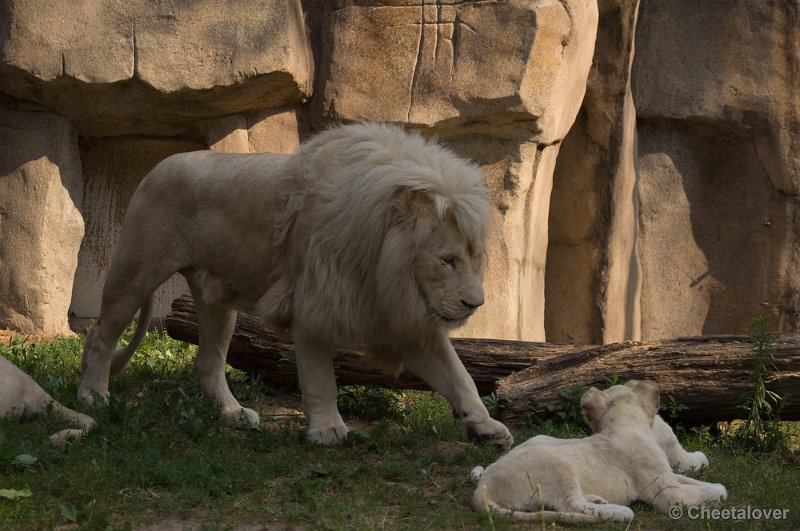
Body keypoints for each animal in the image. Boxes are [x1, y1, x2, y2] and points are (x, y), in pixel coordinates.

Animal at [79, 121, 512, 448]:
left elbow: (459, 376)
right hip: (135, 270)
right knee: (101, 333)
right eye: (447, 260)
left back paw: (232, 413)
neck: (383, 266)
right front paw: (327, 429)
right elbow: (321, 378)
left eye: (474, 259)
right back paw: (93, 396)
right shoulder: (314, 305)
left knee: (208, 361)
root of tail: (156, 167)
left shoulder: (404, 321)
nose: (475, 304)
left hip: (216, 302)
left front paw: (484, 425)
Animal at [468, 382, 724, 524]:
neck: (624, 424)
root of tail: (483, 487)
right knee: (569, 505)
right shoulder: (667, 493)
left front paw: (714, 486)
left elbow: (704, 485)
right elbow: (699, 493)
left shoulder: (668, 475)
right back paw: (620, 511)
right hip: (556, 461)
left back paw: (598, 499)